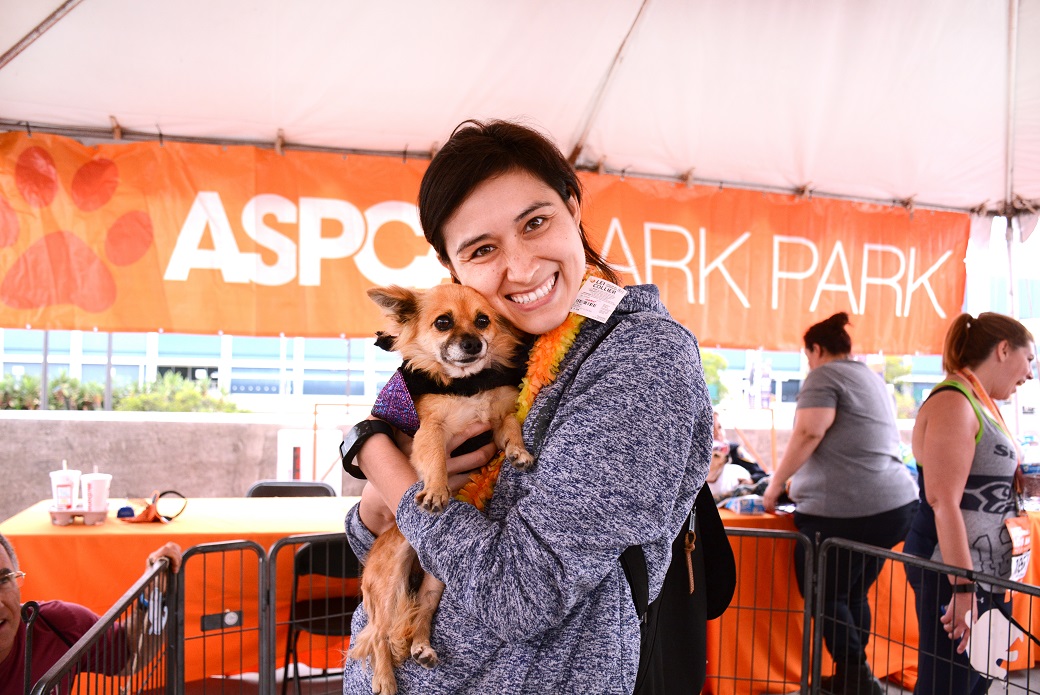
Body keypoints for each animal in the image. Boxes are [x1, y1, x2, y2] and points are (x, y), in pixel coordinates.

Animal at [349, 282, 532, 695]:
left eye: (483, 321)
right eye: (443, 323)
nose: (473, 343)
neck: (466, 385)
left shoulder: (499, 418)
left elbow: (511, 429)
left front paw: (519, 452)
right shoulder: (430, 430)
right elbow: (434, 458)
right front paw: (435, 490)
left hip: (437, 582)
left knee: (422, 613)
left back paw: (422, 646)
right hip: (389, 582)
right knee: (380, 634)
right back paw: (384, 679)